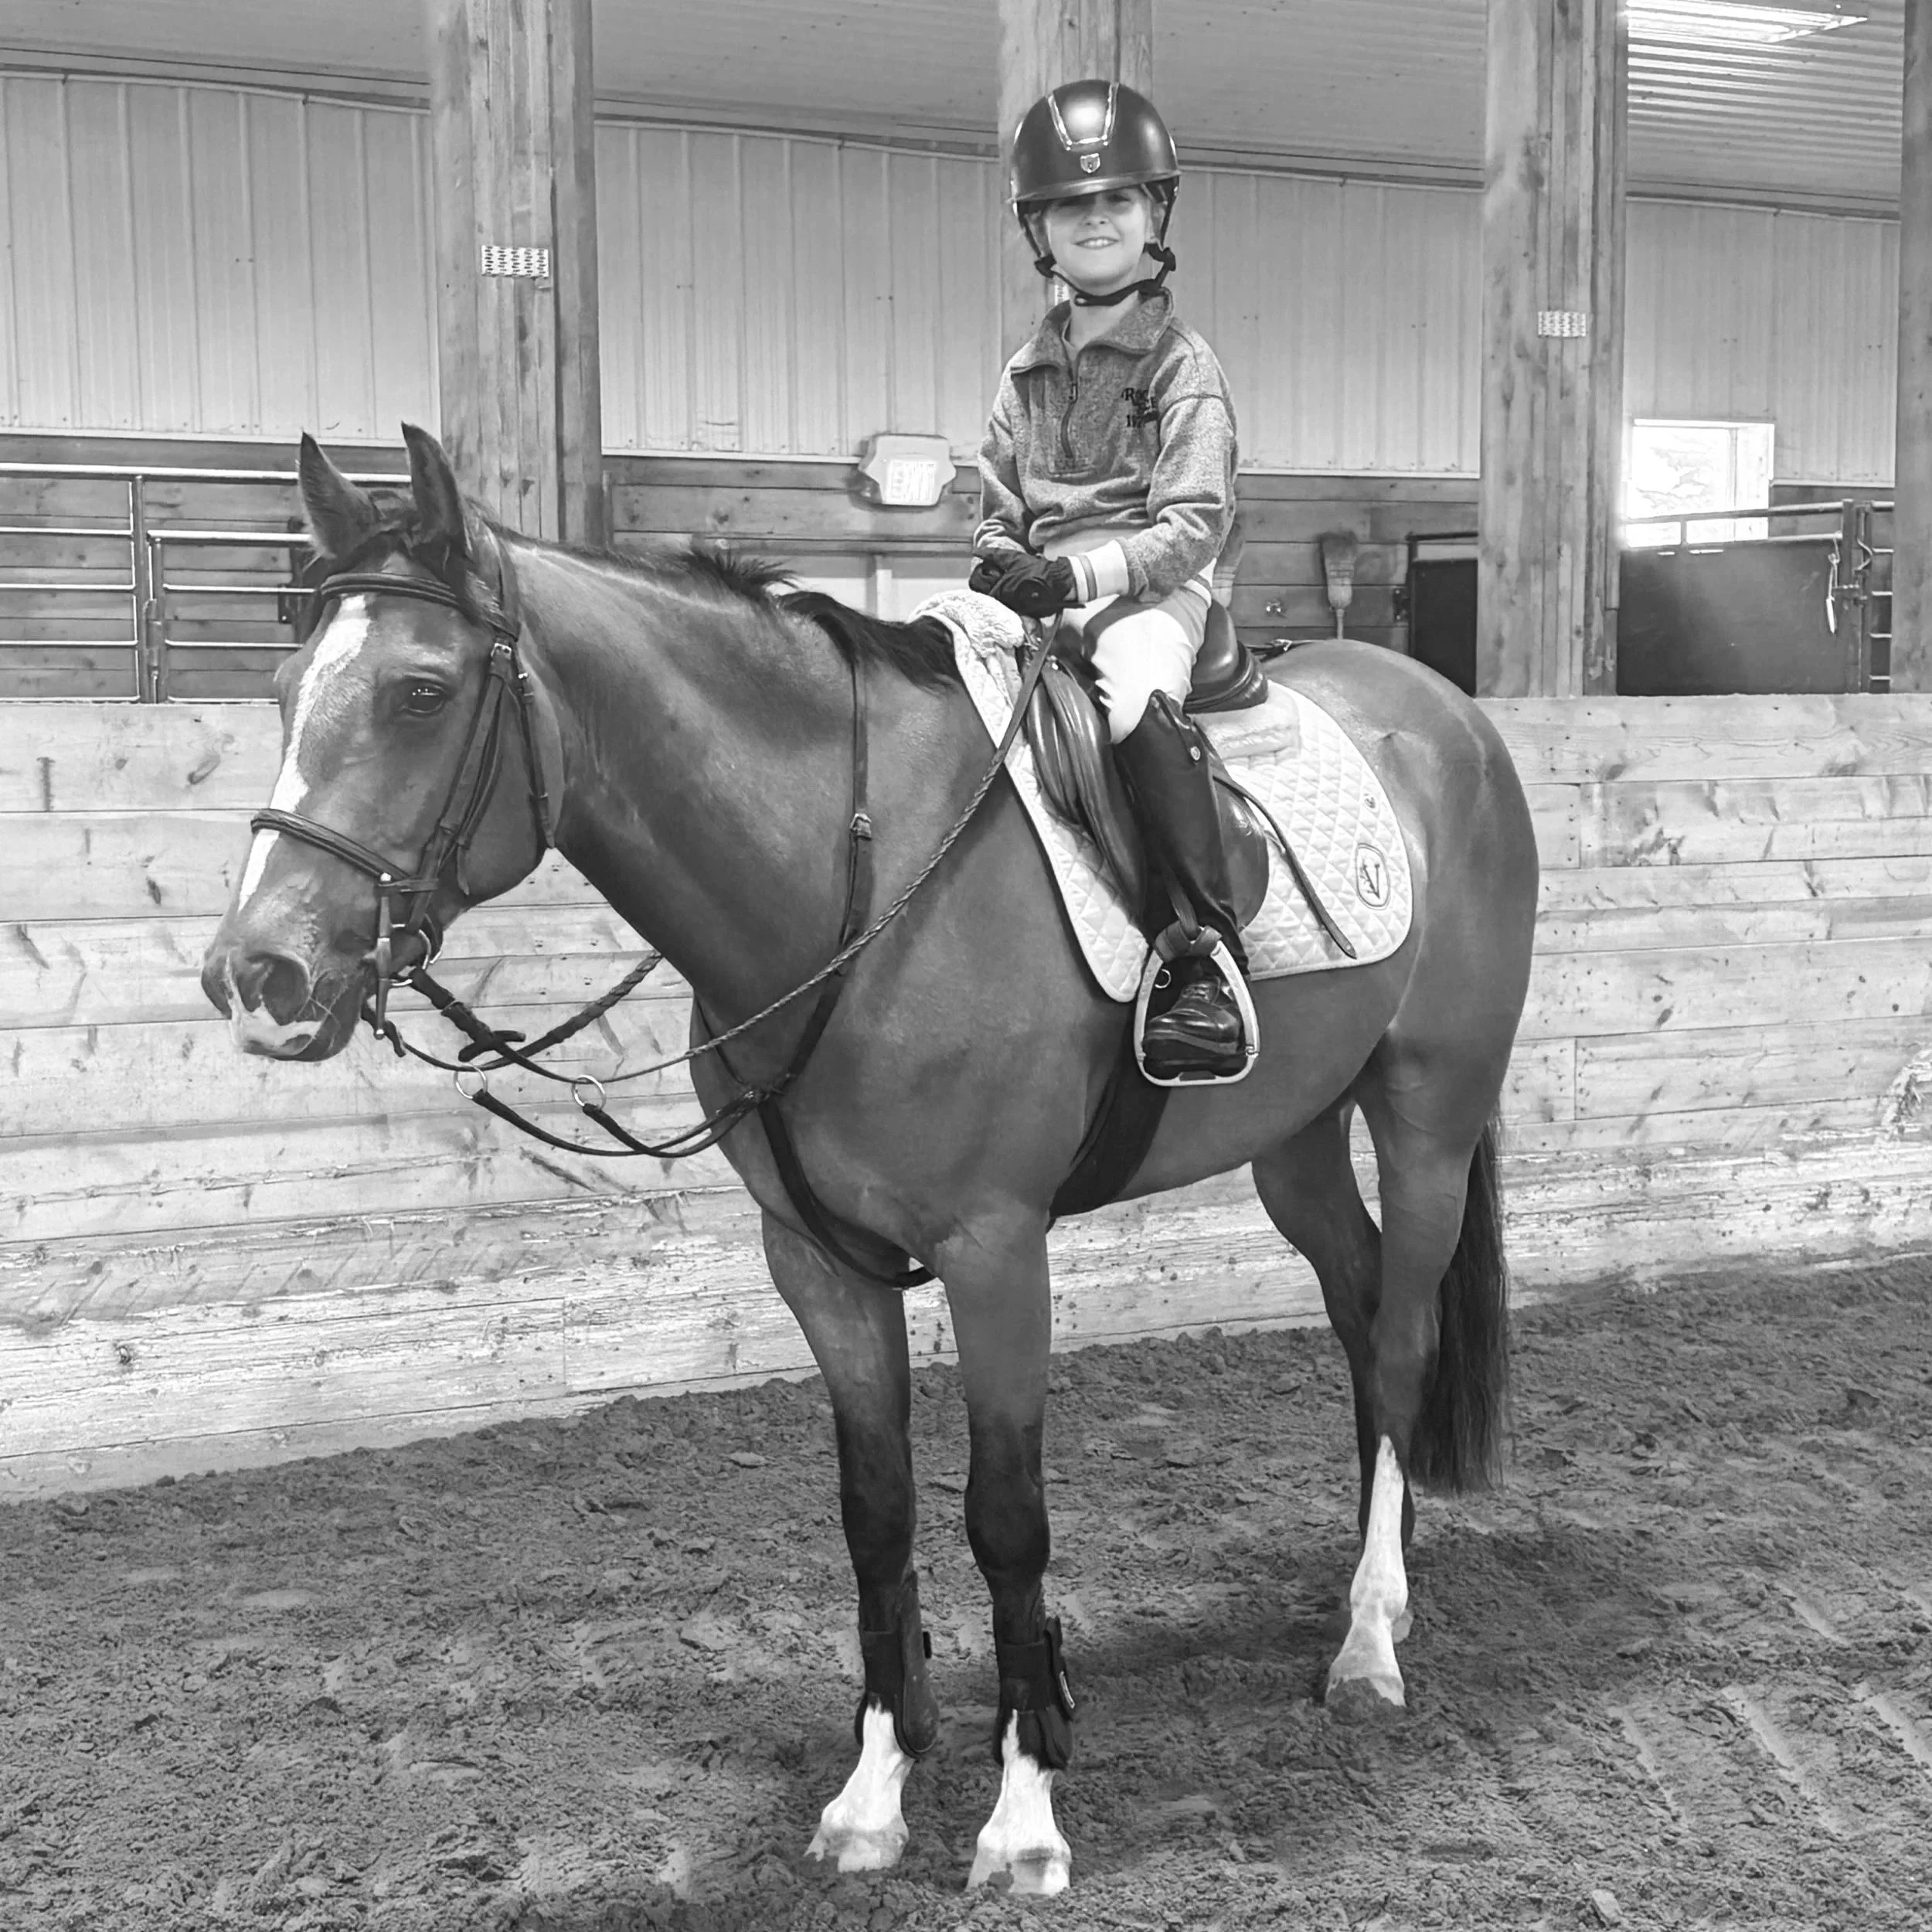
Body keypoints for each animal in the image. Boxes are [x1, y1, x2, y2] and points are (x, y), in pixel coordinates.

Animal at [202, 425, 1539, 1897]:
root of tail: (1446, 714)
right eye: (284, 690)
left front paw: (1023, 1816)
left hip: (1427, 1116)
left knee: (1403, 1337)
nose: (258, 976)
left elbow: (1004, 1516)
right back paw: (1377, 1582)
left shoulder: (997, 1253)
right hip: (1292, 1140)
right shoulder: (818, 1262)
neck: (849, 887)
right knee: (1359, 1316)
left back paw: (1367, 1642)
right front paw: (875, 1793)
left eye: (421, 692)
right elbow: (877, 1512)